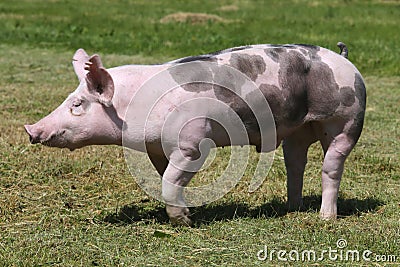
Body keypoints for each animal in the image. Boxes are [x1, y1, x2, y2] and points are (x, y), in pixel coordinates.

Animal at [24, 43, 366, 226]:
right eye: (69, 98)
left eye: (77, 104)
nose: (31, 130)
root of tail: (347, 61)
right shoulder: (157, 147)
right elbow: (167, 179)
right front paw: (186, 212)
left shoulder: (192, 143)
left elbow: (170, 180)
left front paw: (185, 221)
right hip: (297, 129)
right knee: (295, 163)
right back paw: (290, 209)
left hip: (347, 120)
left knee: (331, 167)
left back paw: (325, 218)